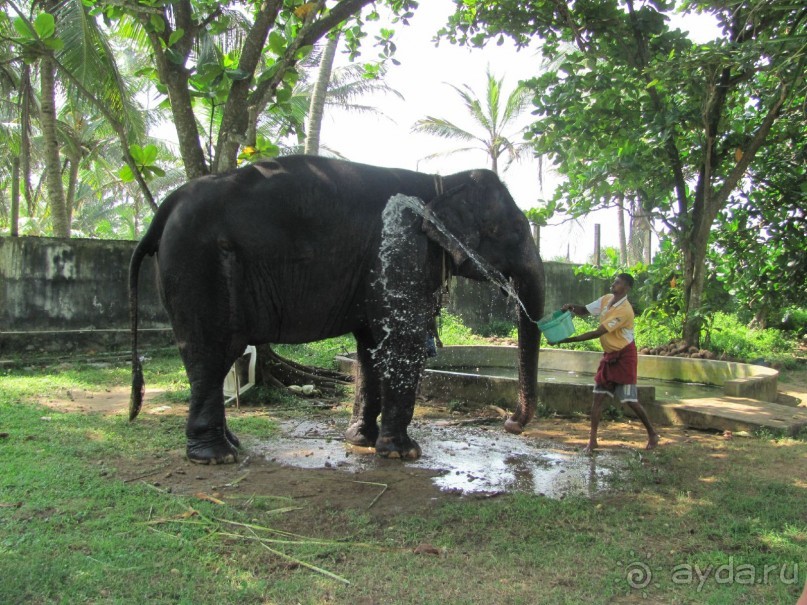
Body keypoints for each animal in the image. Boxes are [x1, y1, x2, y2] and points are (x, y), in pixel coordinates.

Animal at [131, 155, 548, 462]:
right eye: (511, 230)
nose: (510, 424)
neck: (442, 182)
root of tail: (167, 205)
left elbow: (371, 347)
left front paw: (362, 442)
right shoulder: (402, 247)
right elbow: (403, 342)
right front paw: (403, 454)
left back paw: (230, 446)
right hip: (199, 266)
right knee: (210, 353)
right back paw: (216, 457)